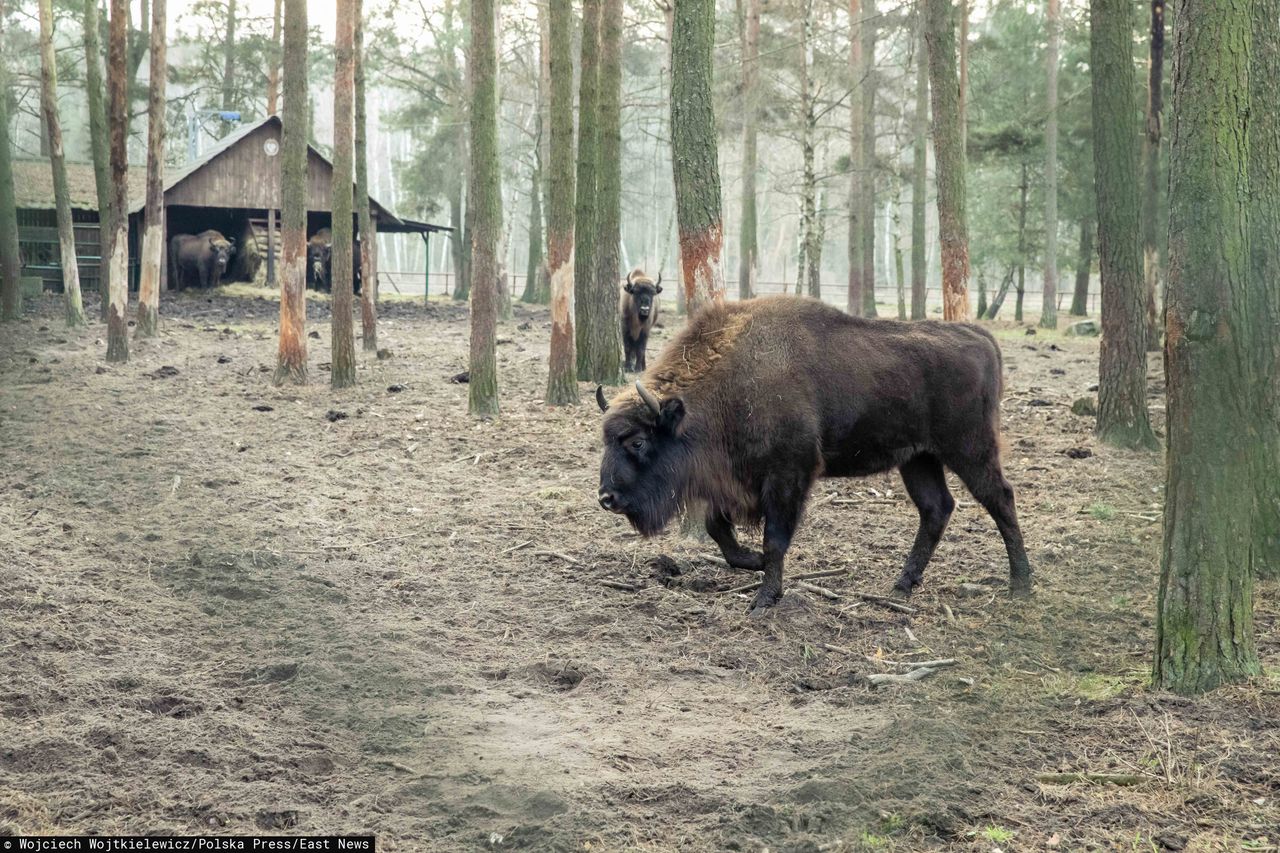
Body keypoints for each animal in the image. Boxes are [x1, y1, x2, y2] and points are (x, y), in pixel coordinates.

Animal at [596, 295, 1029, 607]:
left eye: (637, 441)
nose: (606, 498)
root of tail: (980, 338)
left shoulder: (789, 475)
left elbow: (775, 538)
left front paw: (764, 599)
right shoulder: (733, 481)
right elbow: (720, 530)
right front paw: (753, 564)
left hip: (969, 449)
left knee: (1001, 498)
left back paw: (1021, 585)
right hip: (918, 459)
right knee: (936, 508)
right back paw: (901, 586)